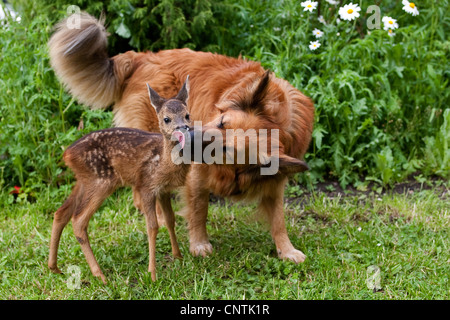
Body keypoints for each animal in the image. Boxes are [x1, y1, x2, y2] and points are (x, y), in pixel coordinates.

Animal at [49, 13, 314, 262]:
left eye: (228, 149)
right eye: (221, 121)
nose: (187, 138)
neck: (280, 122)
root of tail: (141, 57)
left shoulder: (273, 182)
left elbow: (278, 219)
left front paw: (287, 250)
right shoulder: (197, 173)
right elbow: (199, 209)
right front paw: (199, 243)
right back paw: (157, 216)